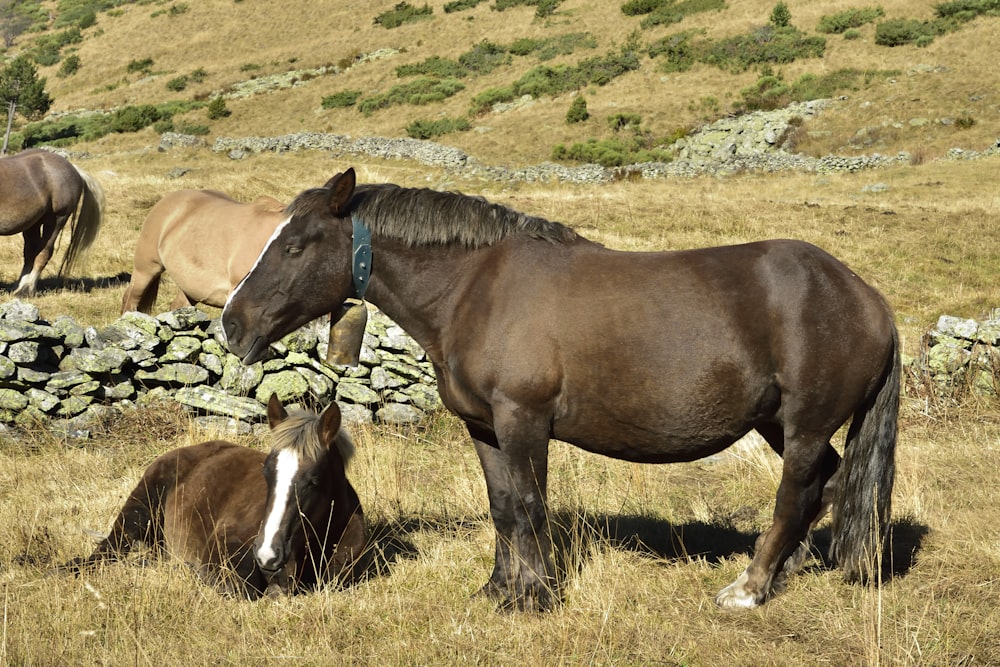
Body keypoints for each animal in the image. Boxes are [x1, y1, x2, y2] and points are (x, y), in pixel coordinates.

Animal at [0, 151, 104, 298]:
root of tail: (74, 169)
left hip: (56, 220)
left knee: (44, 252)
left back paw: (26, 290)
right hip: (33, 224)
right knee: (31, 253)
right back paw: (20, 287)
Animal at [223, 170, 904, 612]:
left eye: (293, 245)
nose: (232, 323)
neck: (474, 288)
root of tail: (866, 297)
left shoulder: (524, 421)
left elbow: (530, 506)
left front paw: (538, 595)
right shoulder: (486, 426)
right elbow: (503, 507)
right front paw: (500, 590)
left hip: (805, 426)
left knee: (796, 494)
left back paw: (751, 586)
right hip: (778, 423)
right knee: (828, 486)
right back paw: (789, 568)